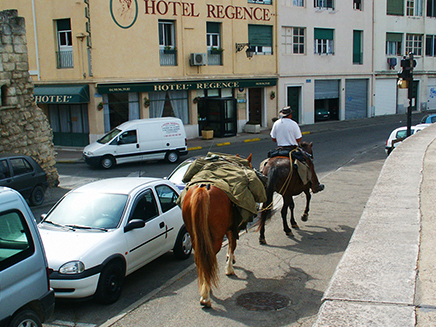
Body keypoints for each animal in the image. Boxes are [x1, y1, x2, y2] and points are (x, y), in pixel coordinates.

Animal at [181, 155, 255, 308]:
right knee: (208, 259)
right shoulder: (232, 228)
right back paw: (205, 296)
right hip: (215, 237)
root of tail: (203, 189)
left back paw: (204, 288)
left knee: (200, 259)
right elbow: (233, 245)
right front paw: (229, 267)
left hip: (195, 235)